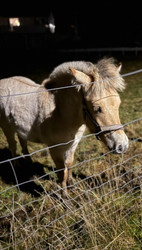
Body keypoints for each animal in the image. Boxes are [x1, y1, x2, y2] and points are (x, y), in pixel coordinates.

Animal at [0, 58, 129, 197]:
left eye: (118, 103)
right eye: (97, 108)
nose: (122, 146)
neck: (61, 113)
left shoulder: (73, 143)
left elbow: (69, 164)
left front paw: (72, 186)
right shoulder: (54, 148)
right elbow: (61, 171)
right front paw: (64, 196)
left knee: (23, 143)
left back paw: (28, 162)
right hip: (7, 128)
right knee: (13, 146)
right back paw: (17, 166)